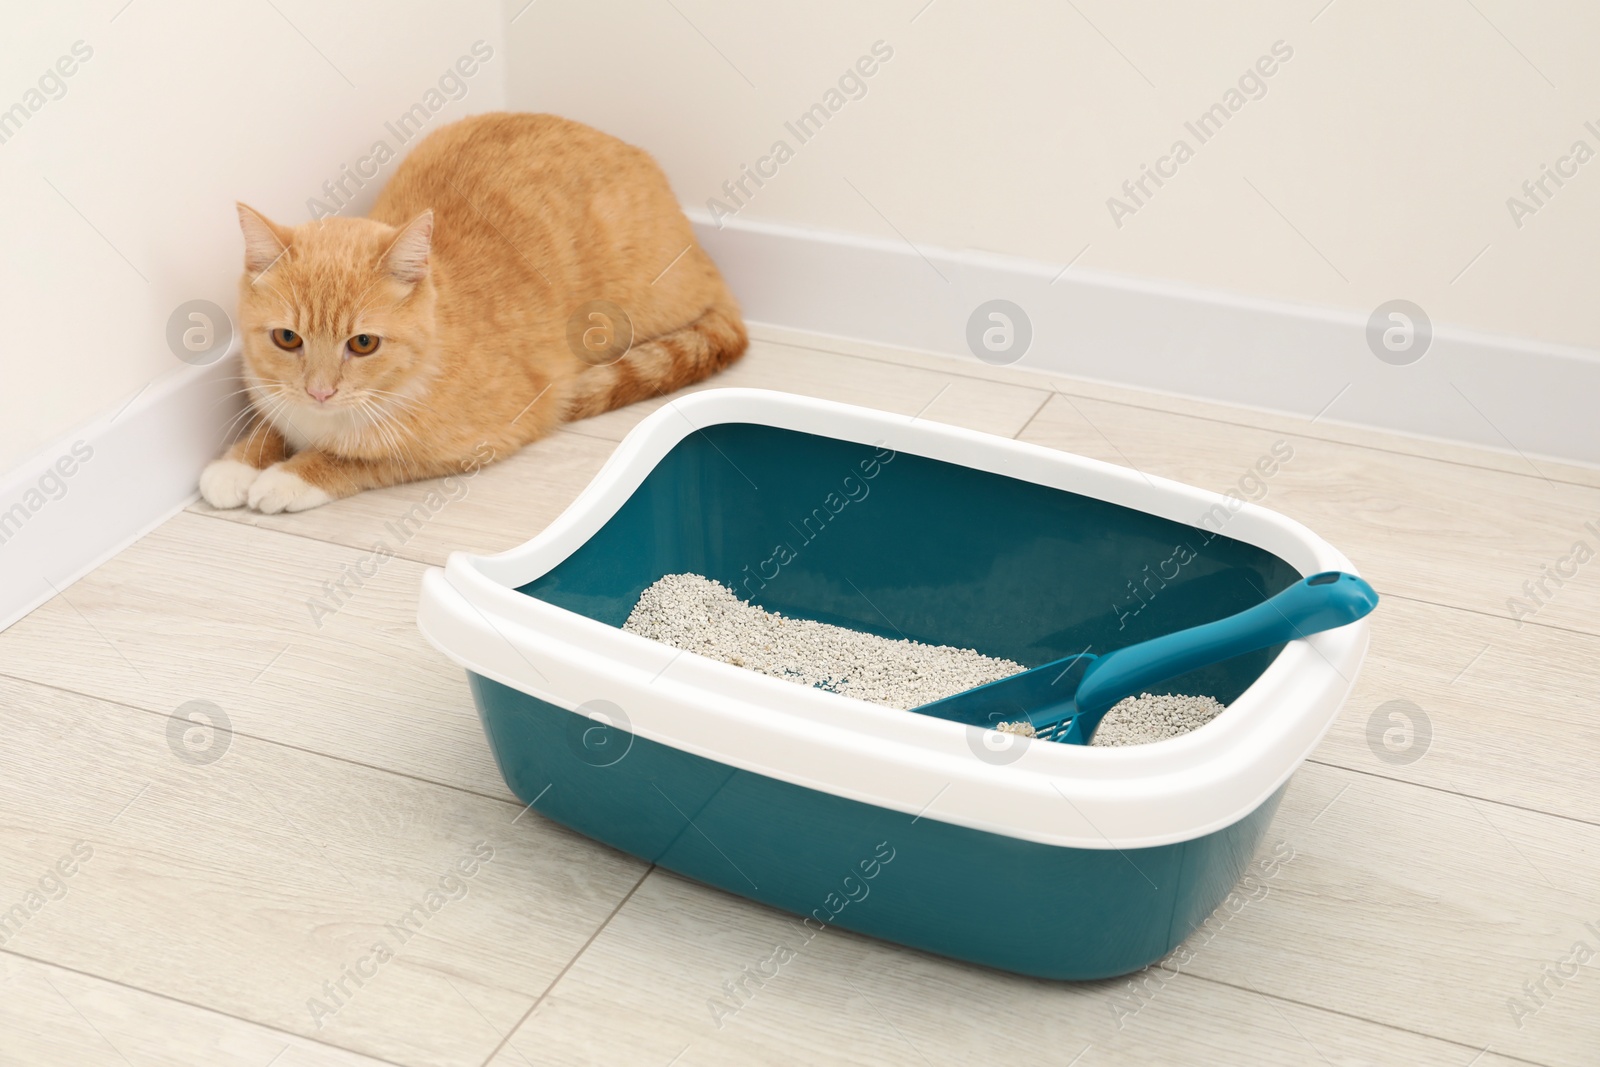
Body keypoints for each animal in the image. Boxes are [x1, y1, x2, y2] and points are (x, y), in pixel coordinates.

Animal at [201, 112, 748, 511]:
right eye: (287, 339)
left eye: (363, 343)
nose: (319, 392)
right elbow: (270, 421)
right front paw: (241, 461)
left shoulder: (481, 438)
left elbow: (367, 459)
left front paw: (292, 476)